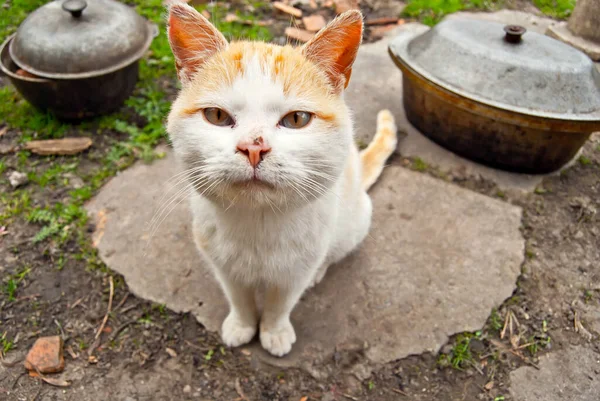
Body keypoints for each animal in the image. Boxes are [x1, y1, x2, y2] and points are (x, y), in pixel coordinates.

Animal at [165, 1, 398, 354]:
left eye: (297, 119)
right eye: (216, 116)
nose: (253, 148)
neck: (258, 227)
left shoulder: (296, 270)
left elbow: (280, 303)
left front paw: (273, 332)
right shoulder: (220, 261)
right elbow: (239, 297)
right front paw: (242, 326)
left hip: (352, 224)